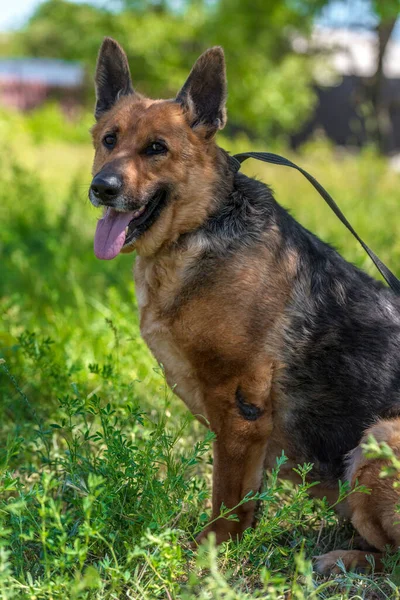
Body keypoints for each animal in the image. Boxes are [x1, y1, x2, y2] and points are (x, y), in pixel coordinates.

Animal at [89, 38, 400, 576]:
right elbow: (245, 505)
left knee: (393, 558)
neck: (198, 228)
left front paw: (207, 556)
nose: (101, 189)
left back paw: (339, 558)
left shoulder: (240, 411)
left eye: (157, 149)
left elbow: (225, 502)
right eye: (110, 140)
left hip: (379, 437)